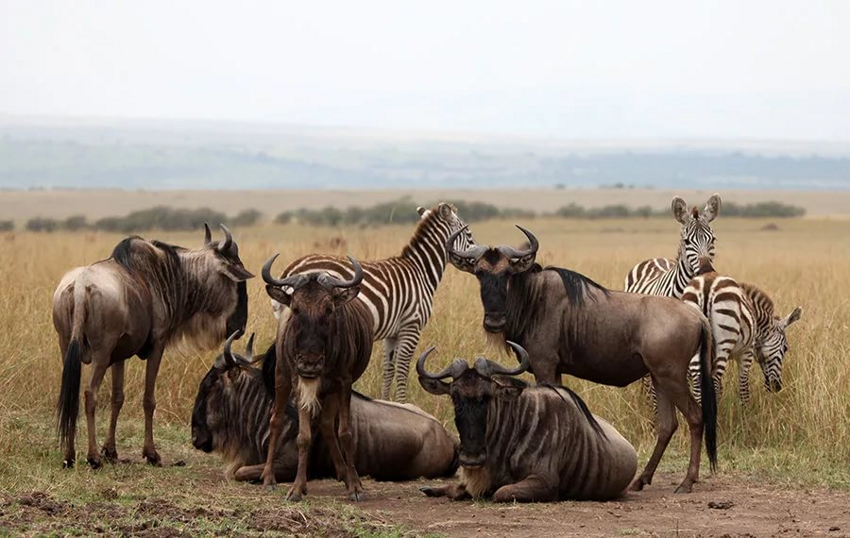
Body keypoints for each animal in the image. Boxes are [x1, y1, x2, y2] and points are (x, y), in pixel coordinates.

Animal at [270, 203, 474, 400]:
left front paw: (386, 402)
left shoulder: (392, 333)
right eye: (469, 235)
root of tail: (290, 269)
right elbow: (402, 371)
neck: (421, 272)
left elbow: (388, 370)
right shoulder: (411, 326)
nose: (478, 260)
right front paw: (402, 403)